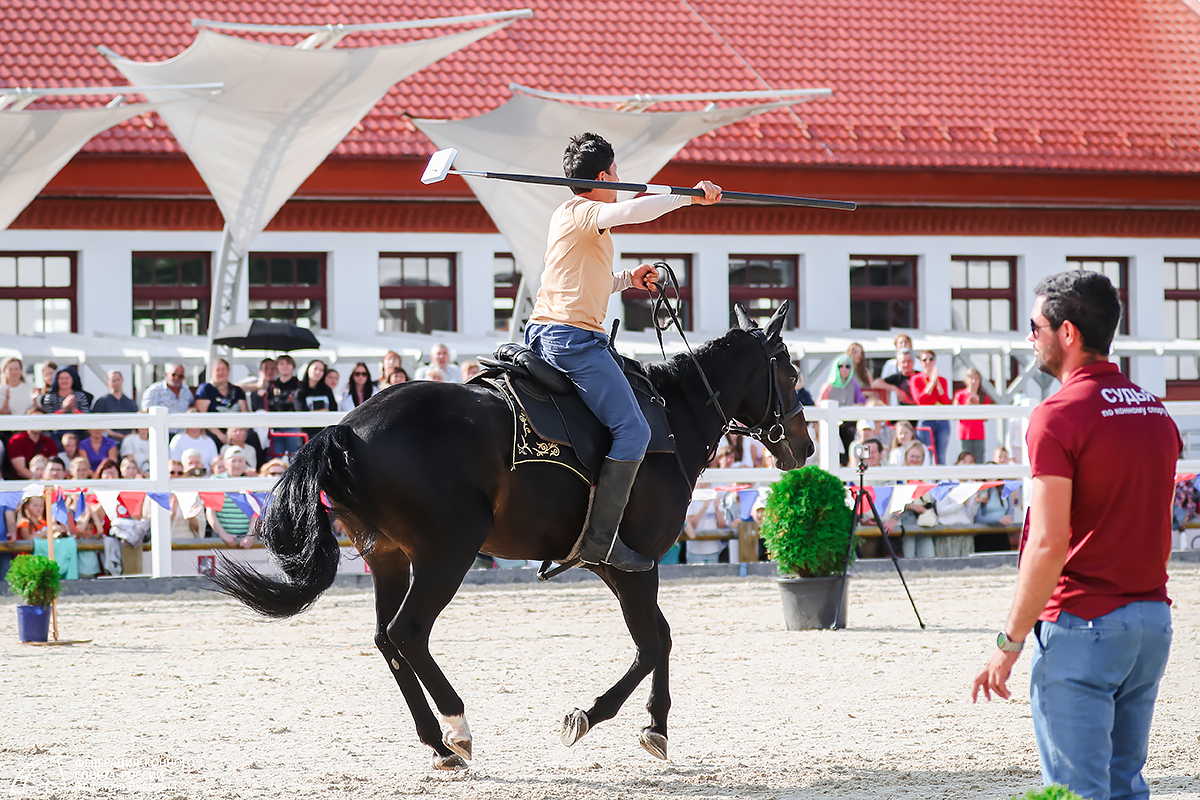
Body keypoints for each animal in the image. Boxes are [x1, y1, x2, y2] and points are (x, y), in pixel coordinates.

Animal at [211, 302, 813, 771]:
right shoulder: (635, 562)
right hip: (448, 553)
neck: (672, 417)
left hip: (389, 557)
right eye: (788, 372)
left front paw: (641, 723)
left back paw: (438, 744)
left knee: (387, 638)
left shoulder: (610, 564)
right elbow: (655, 641)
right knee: (409, 632)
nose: (804, 446)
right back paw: (456, 727)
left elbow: (655, 638)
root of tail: (346, 430)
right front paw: (614, 720)